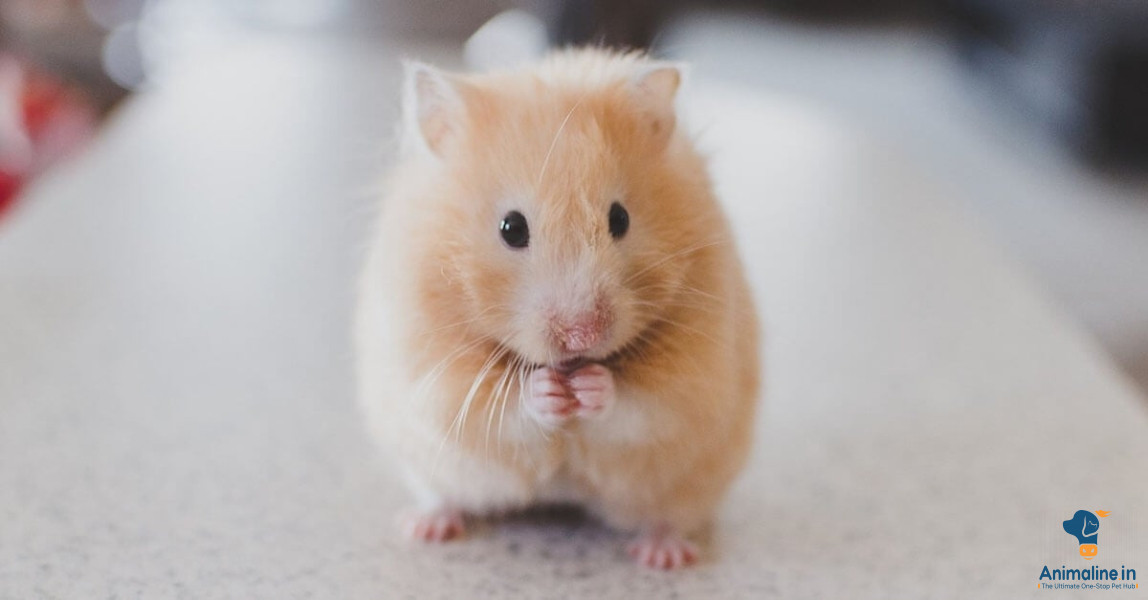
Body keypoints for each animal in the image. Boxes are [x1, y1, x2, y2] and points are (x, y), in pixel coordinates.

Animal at [355, 48, 760, 570]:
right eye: (511, 228)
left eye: (620, 219)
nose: (582, 336)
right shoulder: (433, 372)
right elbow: (499, 406)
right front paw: (548, 391)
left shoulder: (695, 376)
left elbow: (642, 405)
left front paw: (590, 387)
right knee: (443, 495)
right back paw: (425, 527)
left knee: (669, 516)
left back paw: (663, 556)